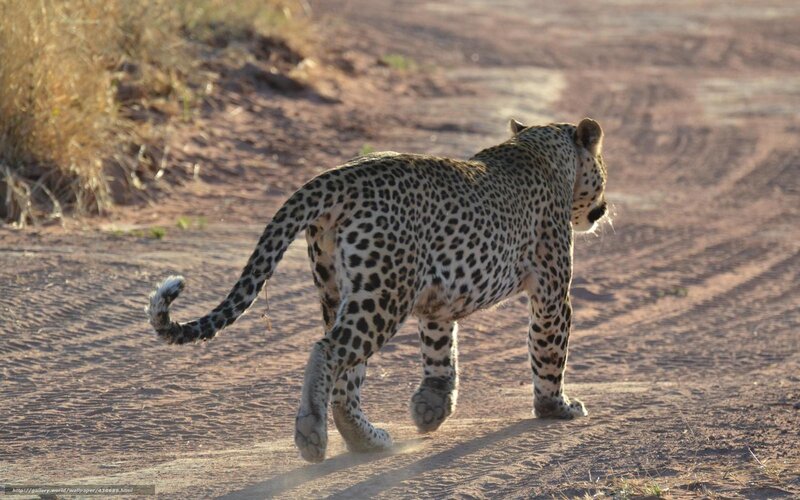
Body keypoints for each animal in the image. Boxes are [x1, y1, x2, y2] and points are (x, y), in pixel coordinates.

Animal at [147, 117, 609, 463]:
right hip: (384, 294)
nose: (603, 208)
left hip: (342, 290)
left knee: (345, 378)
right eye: (603, 174)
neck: (544, 150)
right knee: (327, 352)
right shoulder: (552, 292)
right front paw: (557, 408)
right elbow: (549, 352)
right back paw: (312, 434)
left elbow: (441, 353)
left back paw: (367, 440)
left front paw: (431, 408)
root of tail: (340, 176)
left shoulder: (437, 302)